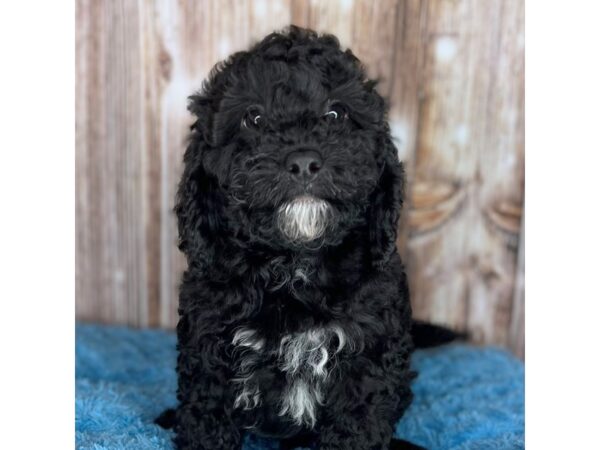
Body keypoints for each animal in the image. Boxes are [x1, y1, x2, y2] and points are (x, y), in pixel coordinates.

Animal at [159, 27, 446, 450]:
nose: (303, 161)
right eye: (253, 118)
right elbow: (207, 415)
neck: (295, 263)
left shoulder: (369, 350)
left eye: (336, 114)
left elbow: (357, 425)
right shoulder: (209, 339)